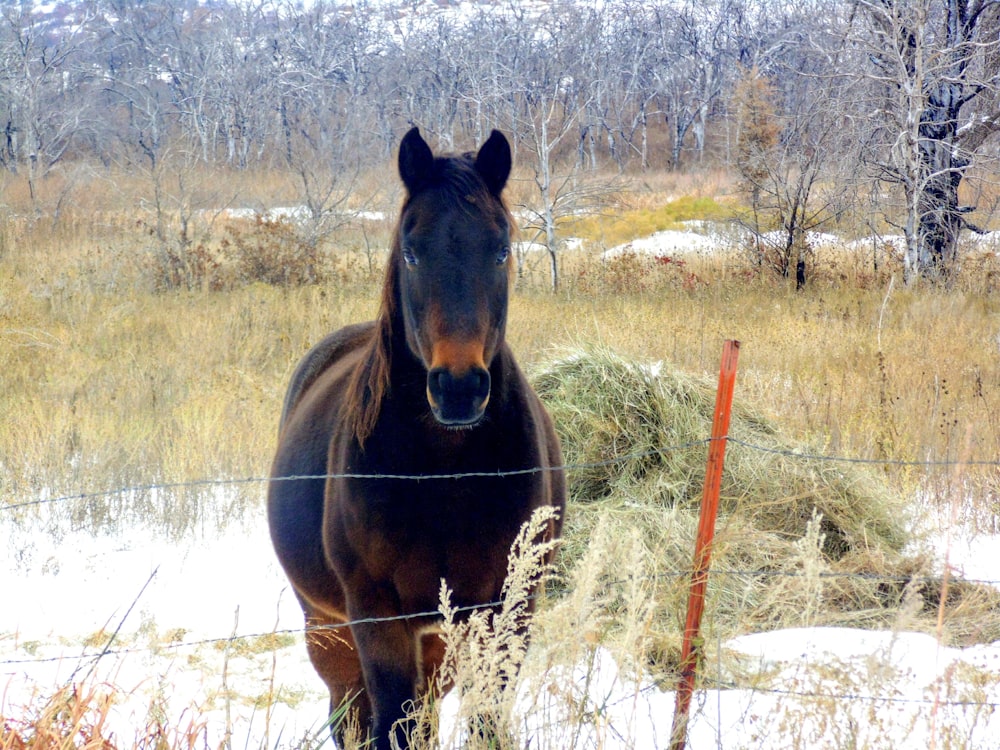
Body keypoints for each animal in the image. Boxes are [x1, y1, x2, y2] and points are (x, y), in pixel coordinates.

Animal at [266, 129, 564, 750]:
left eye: (500, 250)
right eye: (411, 251)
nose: (459, 388)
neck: (446, 472)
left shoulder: (506, 614)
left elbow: (485, 727)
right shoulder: (379, 621)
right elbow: (391, 730)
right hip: (331, 632)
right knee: (354, 719)